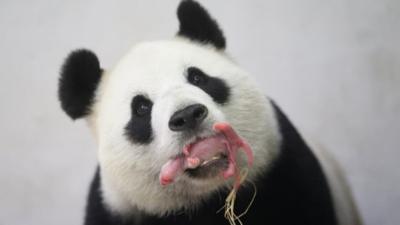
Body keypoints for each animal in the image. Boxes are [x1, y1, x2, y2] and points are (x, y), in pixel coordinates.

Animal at [58, 0, 362, 225]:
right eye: (141, 108)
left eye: (198, 78)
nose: (188, 115)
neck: (207, 199)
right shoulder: (117, 209)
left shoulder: (287, 173)